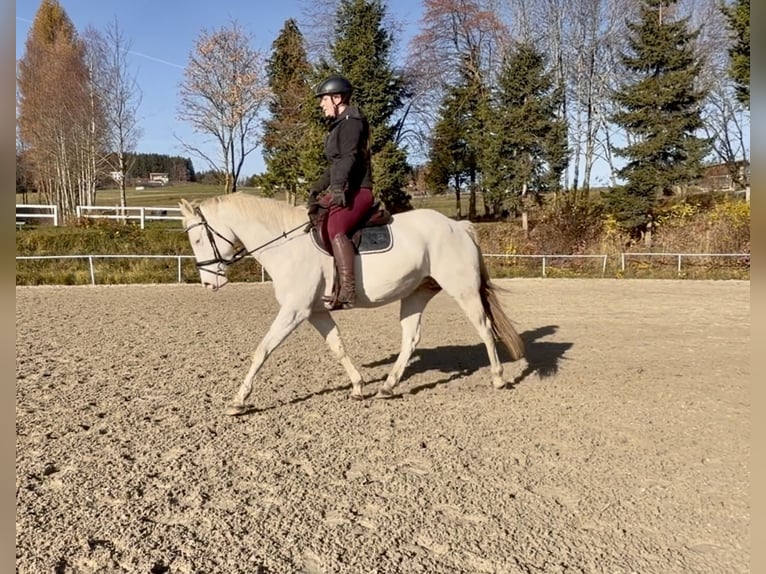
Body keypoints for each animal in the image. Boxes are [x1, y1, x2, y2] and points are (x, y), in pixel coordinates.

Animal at [179, 193, 526, 416]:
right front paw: (359, 386)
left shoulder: (294, 311)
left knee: (483, 328)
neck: (286, 245)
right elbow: (338, 347)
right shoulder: (315, 312)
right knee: (410, 338)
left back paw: (498, 378)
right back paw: (387, 386)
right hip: (416, 292)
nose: (209, 284)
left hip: (462, 290)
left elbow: (262, 350)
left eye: (197, 239)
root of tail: (457, 225)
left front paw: (238, 401)